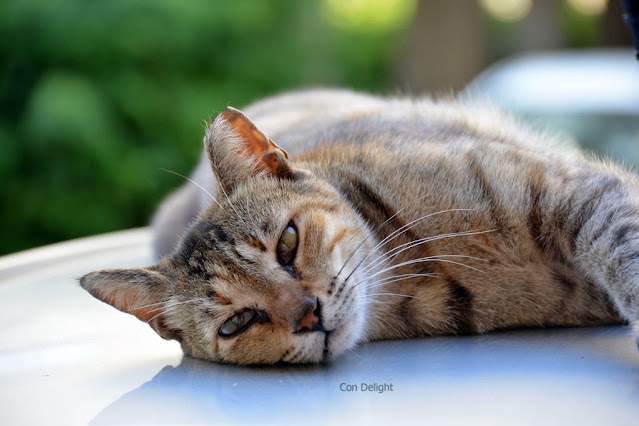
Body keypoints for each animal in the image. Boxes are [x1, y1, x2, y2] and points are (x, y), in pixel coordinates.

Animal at [81, 88, 639, 364]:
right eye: (236, 323)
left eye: (287, 243)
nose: (309, 315)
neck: (424, 267)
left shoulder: (579, 191)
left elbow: (624, 251)